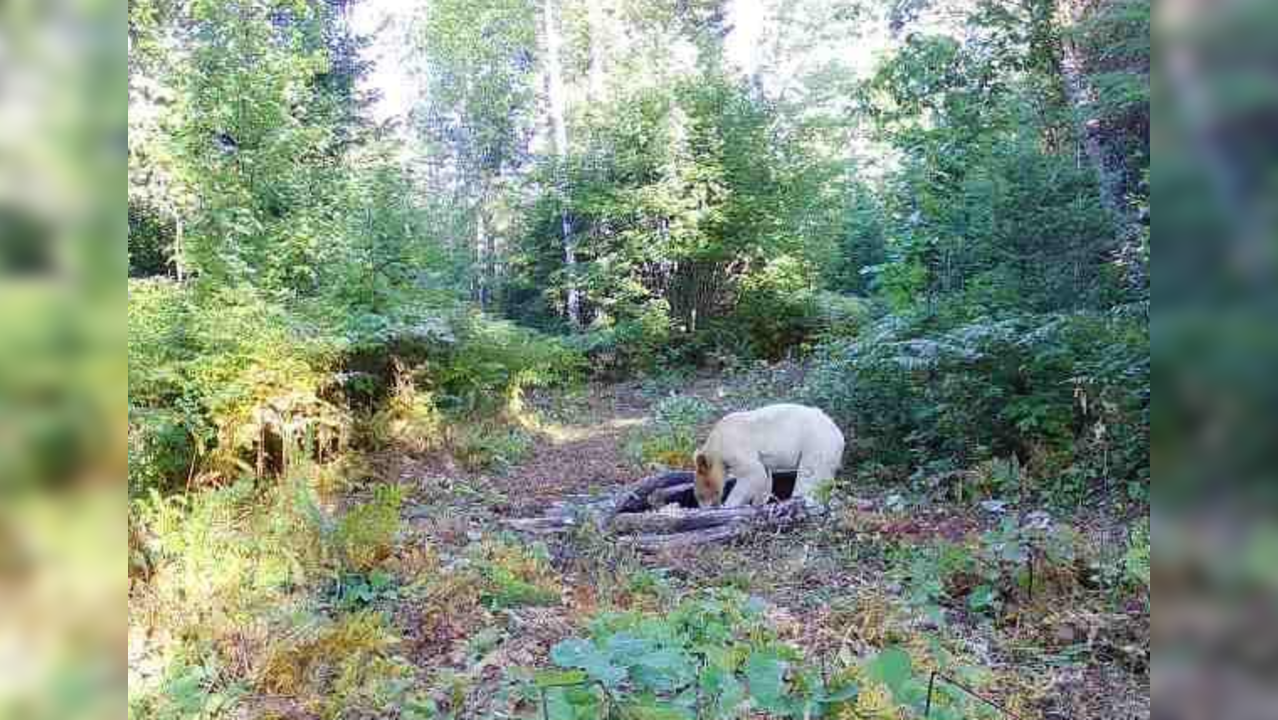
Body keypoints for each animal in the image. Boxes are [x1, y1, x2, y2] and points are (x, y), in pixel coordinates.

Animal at [695, 404, 843, 508]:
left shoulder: (734, 447)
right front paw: (758, 503)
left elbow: (753, 473)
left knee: (808, 476)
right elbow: (765, 477)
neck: (716, 442)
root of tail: (839, 435)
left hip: (815, 443)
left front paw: (728, 505)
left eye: (701, 494)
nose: (705, 507)